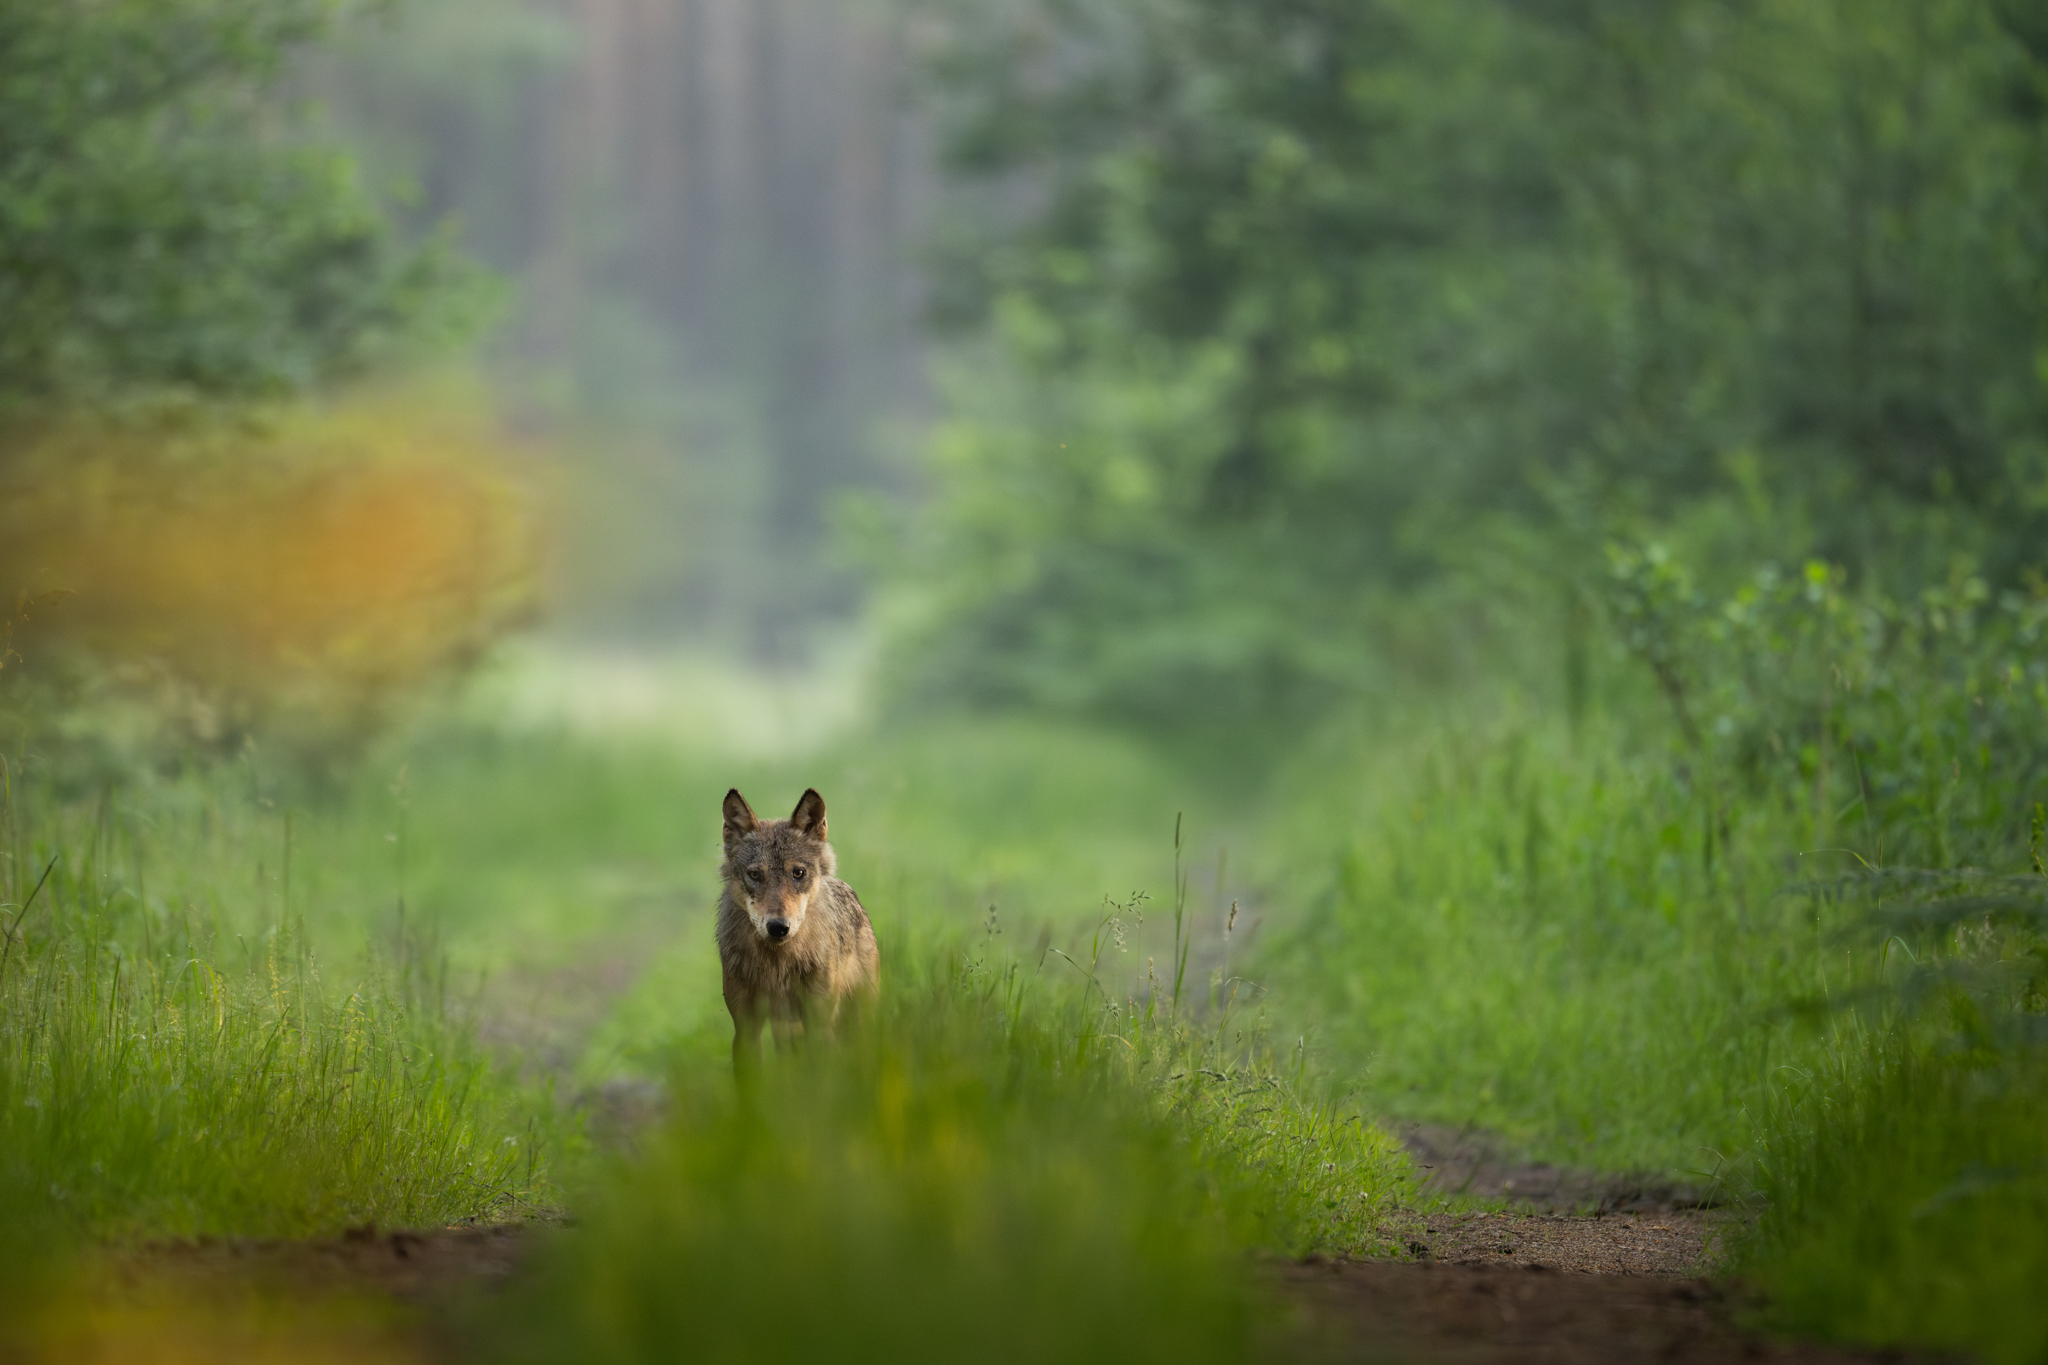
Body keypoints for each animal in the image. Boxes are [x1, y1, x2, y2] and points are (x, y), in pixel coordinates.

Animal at [716, 789, 876, 1064]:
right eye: (755, 875)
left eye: (798, 873)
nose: (778, 927)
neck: (777, 964)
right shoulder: (746, 1030)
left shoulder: (819, 1024)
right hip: (787, 1030)